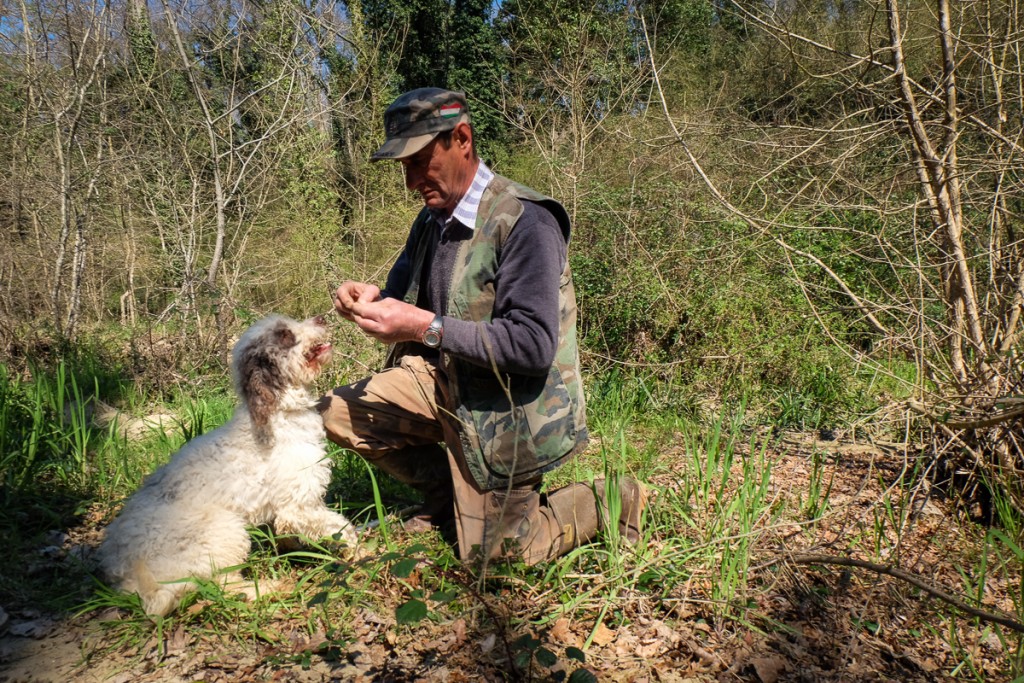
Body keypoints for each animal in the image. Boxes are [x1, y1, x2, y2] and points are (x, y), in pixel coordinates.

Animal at [98, 315, 356, 618]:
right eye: (284, 334)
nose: (321, 318)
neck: (278, 415)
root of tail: (129, 581)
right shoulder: (298, 504)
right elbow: (341, 527)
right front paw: (358, 552)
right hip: (225, 530)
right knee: (225, 586)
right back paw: (268, 588)